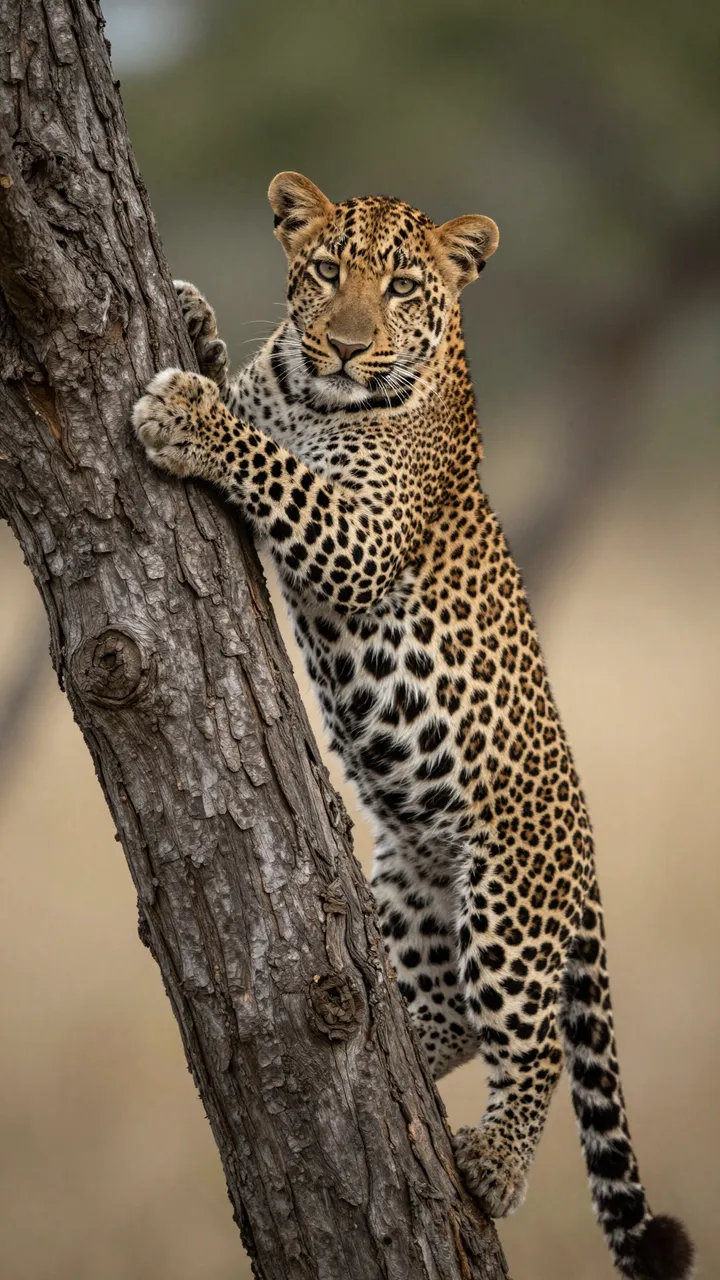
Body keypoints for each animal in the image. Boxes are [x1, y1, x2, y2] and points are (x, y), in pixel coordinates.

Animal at [132, 172, 694, 1279]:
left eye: (400, 288)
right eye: (323, 271)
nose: (349, 346)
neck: (318, 396)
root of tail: (586, 853)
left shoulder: (357, 534)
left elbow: (275, 466)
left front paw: (186, 411)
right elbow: (256, 398)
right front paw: (201, 325)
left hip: (511, 905)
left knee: (532, 1040)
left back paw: (493, 1164)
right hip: (414, 892)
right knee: (430, 1009)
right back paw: (409, 1056)